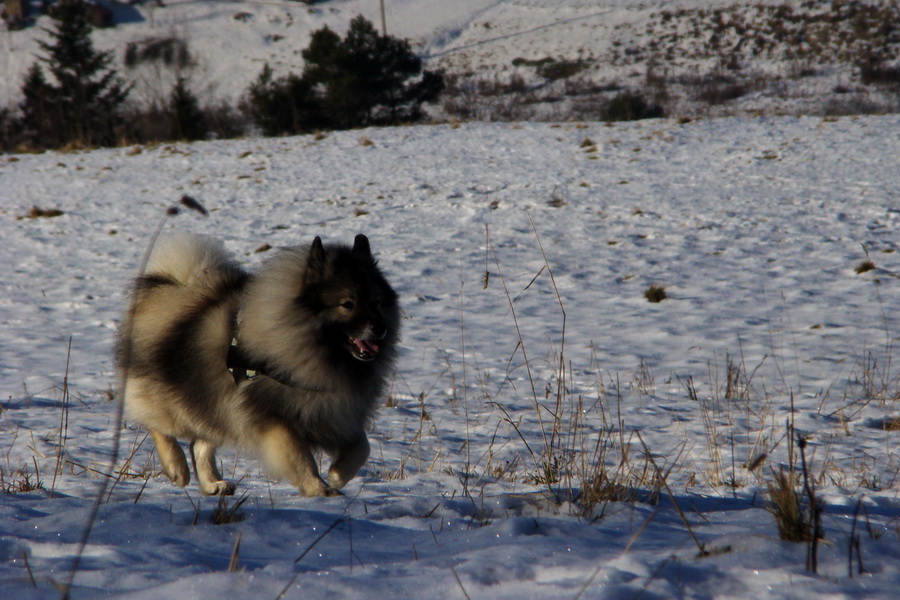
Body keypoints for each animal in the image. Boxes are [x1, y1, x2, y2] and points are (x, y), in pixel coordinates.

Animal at [116, 233, 400, 496]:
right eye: (347, 304)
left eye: (376, 302)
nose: (380, 328)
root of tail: (177, 285)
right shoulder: (275, 417)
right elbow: (300, 456)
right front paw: (319, 487)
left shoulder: (336, 414)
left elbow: (362, 447)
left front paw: (338, 474)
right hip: (178, 398)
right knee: (158, 424)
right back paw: (177, 468)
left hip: (214, 403)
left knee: (200, 442)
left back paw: (212, 484)